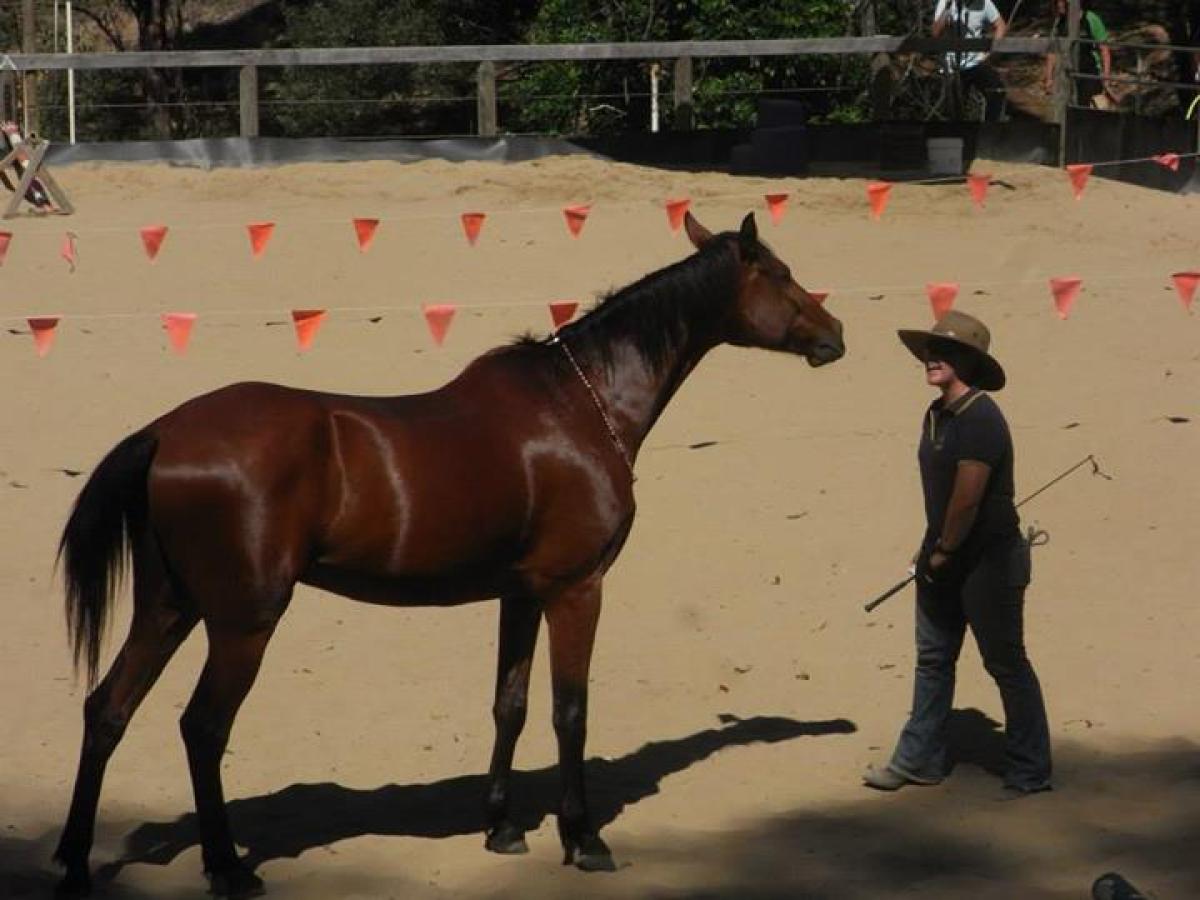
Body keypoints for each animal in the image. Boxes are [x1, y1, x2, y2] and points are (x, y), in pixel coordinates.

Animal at [53, 211, 845, 897]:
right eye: (779, 273)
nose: (834, 333)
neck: (581, 404)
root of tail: (165, 431)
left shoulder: (521, 592)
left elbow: (509, 704)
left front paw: (501, 828)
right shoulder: (576, 589)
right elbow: (570, 710)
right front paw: (583, 838)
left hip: (170, 607)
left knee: (107, 711)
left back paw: (73, 862)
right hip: (243, 622)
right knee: (203, 728)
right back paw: (226, 868)